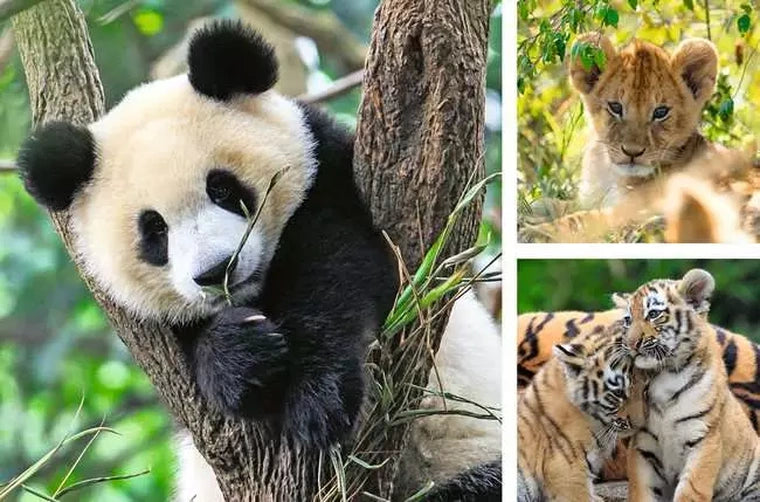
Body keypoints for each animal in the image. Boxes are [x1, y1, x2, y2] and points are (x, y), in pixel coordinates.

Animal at [17, 20, 501, 501]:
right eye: (154, 230)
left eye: (223, 188)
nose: (217, 271)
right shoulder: (154, 334)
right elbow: (189, 363)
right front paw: (240, 354)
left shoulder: (329, 175)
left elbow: (341, 269)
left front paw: (318, 400)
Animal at [620, 269, 760, 501]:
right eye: (627, 320)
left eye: (653, 314)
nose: (630, 343)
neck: (662, 375)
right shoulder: (643, 446)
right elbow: (642, 491)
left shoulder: (704, 439)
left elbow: (691, 490)